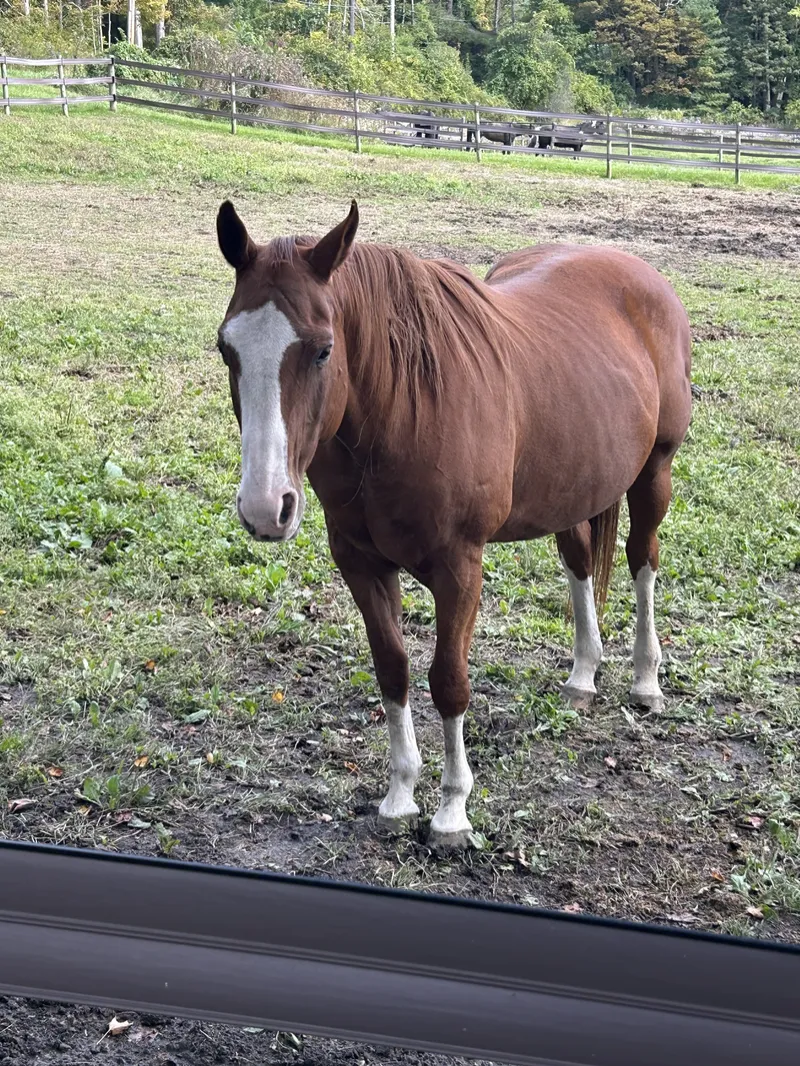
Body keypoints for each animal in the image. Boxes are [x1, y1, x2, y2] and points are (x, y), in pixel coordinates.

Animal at [215, 200, 693, 849]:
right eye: (227, 350)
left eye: (322, 350)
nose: (267, 508)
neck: (401, 413)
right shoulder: (360, 561)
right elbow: (392, 670)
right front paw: (399, 796)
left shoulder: (460, 566)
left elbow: (448, 680)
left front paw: (451, 811)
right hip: (574, 483)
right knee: (578, 566)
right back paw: (582, 676)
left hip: (654, 473)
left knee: (644, 560)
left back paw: (645, 681)